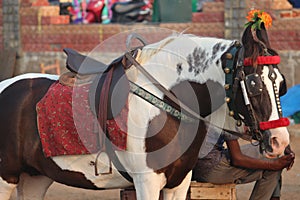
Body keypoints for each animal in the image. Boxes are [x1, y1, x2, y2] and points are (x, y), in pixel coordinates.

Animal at [0, 27, 290, 199]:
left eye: (281, 82)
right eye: (253, 83)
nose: (280, 141)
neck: (164, 103)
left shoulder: (179, 182)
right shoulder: (146, 181)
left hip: (35, 178)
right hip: (6, 179)